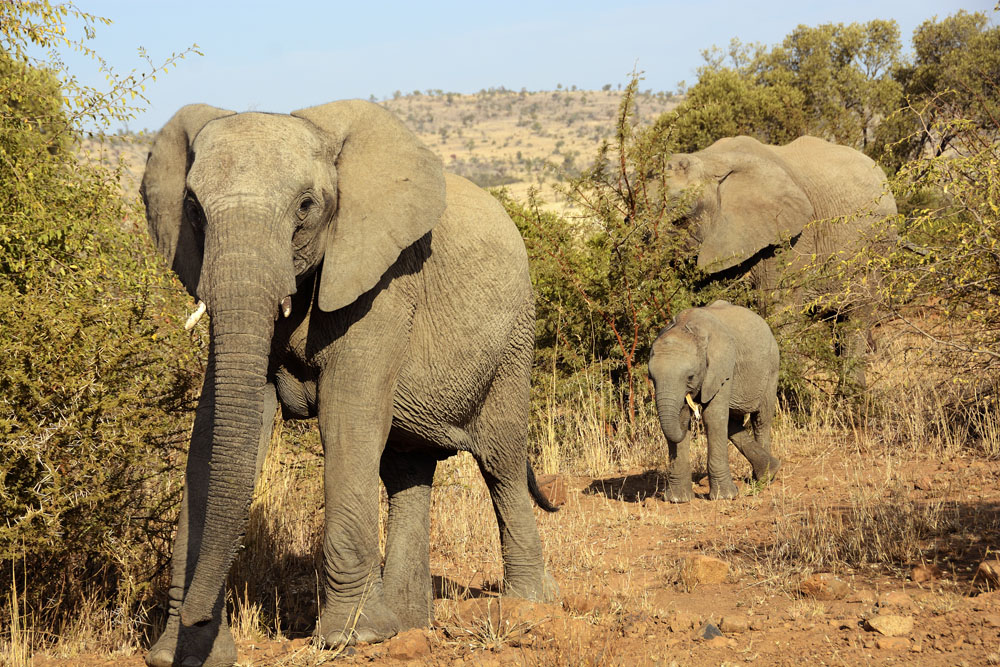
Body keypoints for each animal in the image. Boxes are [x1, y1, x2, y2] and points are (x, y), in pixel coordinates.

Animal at [140, 100, 557, 667]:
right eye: (193, 208)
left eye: (306, 206)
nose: (196, 617)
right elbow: (210, 433)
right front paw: (175, 656)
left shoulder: (384, 283)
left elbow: (348, 417)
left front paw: (351, 640)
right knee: (406, 470)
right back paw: (409, 626)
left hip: (514, 342)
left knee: (501, 463)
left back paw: (526, 606)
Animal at [648, 300, 780, 502]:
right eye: (651, 378)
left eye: (690, 376)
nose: (693, 412)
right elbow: (685, 419)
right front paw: (678, 500)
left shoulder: (723, 367)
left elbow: (713, 417)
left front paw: (724, 497)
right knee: (733, 423)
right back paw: (767, 471)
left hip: (771, 369)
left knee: (761, 420)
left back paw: (765, 478)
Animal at [664, 135, 897, 385]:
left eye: (682, 212)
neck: (711, 159)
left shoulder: (790, 236)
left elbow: (778, 310)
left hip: (875, 249)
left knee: (856, 317)